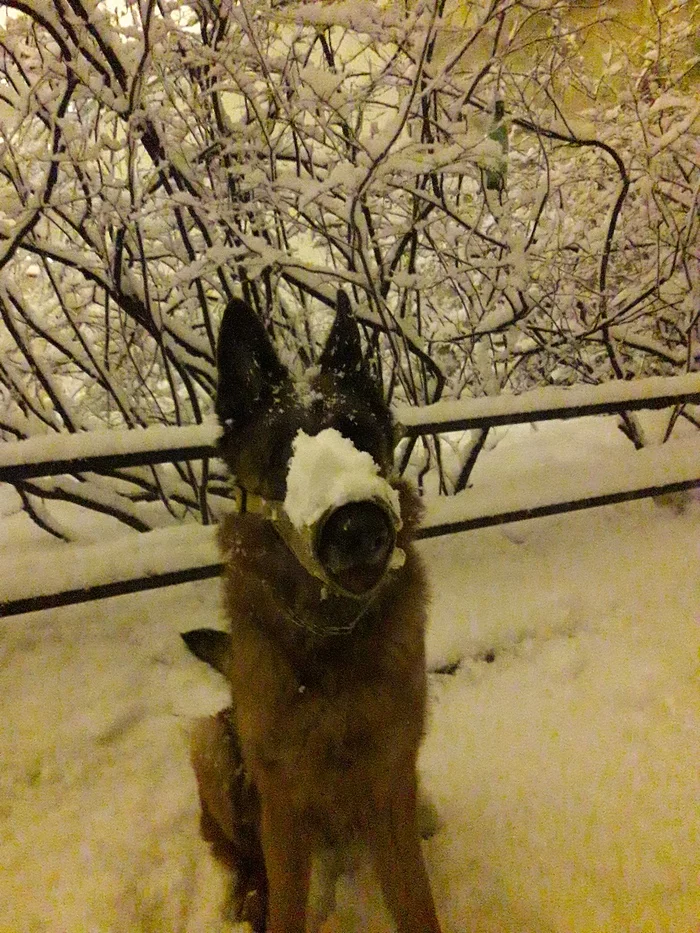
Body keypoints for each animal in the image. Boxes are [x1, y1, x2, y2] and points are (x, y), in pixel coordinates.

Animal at [183, 292, 440, 932]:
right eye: (284, 455)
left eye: (359, 437)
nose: (359, 527)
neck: (330, 637)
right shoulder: (282, 808)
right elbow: (286, 905)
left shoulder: (391, 782)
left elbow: (416, 902)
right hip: (211, 743)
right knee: (241, 854)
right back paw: (248, 894)